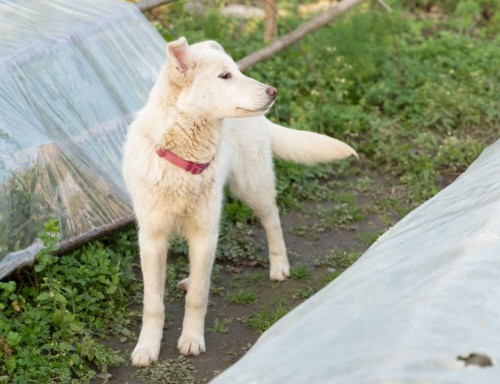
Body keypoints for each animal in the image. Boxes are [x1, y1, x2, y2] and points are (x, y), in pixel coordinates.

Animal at [122, 36, 356, 366]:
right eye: (225, 76)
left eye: (236, 71)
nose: (273, 91)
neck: (183, 161)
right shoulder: (152, 239)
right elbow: (153, 303)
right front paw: (147, 348)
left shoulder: (205, 233)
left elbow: (198, 298)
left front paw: (192, 339)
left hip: (252, 186)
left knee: (272, 221)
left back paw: (279, 265)